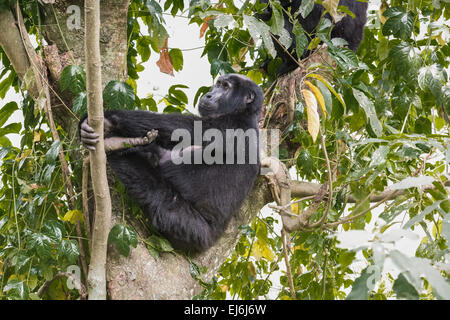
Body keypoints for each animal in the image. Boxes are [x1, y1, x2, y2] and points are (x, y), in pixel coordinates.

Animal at [80, 74, 264, 254]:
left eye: (225, 87)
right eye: (218, 84)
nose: (209, 94)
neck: (243, 112)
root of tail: (209, 242)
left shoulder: (227, 126)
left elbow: (175, 128)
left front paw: (108, 121)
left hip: (184, 225)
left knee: (152, 188)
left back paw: (113, 145)